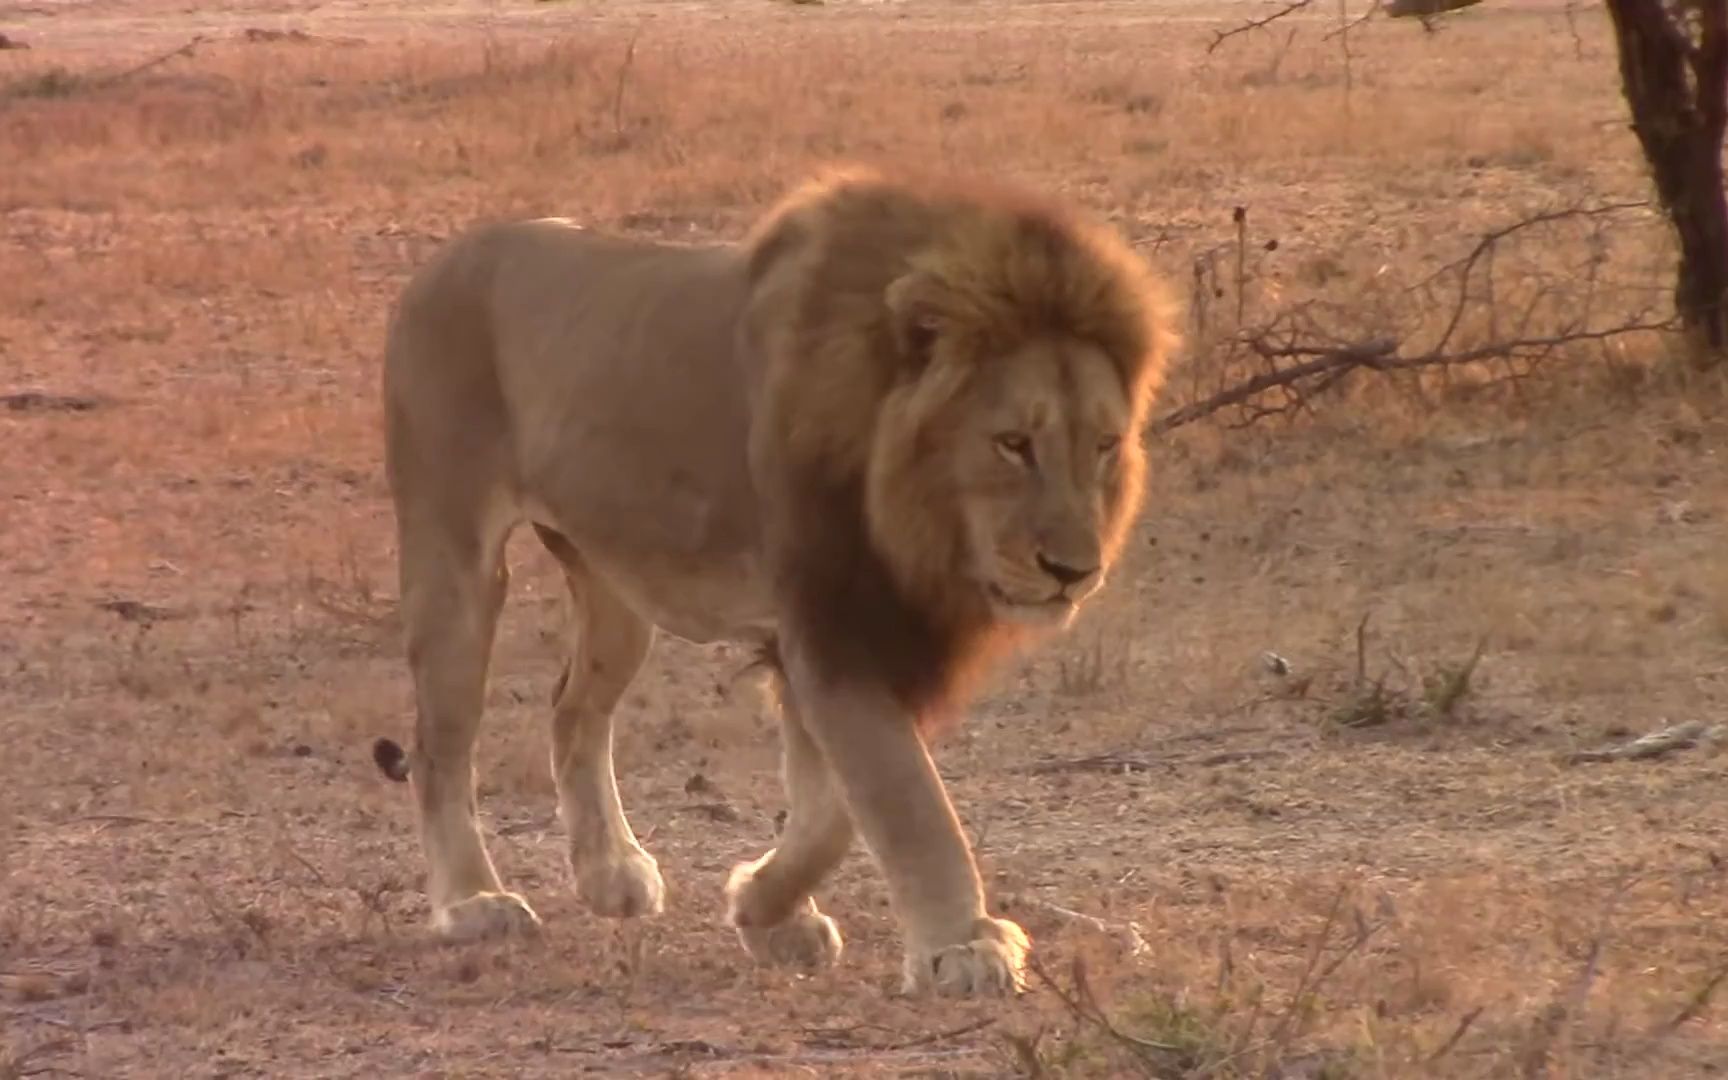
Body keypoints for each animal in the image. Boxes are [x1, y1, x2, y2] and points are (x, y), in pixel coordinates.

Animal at [371, 164, 1181, 995]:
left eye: (1105, 446)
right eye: (1013, 443)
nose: (1074, 571)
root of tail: (443, 259)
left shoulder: (847, 631)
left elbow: (835, 807)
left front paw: (767, 911)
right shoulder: (827, 621)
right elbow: (903, 794)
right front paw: (962, 944)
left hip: (614, 590)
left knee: (572, 709)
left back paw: (609, 874)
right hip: (455, 557)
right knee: (439, 745)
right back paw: (474, 901)